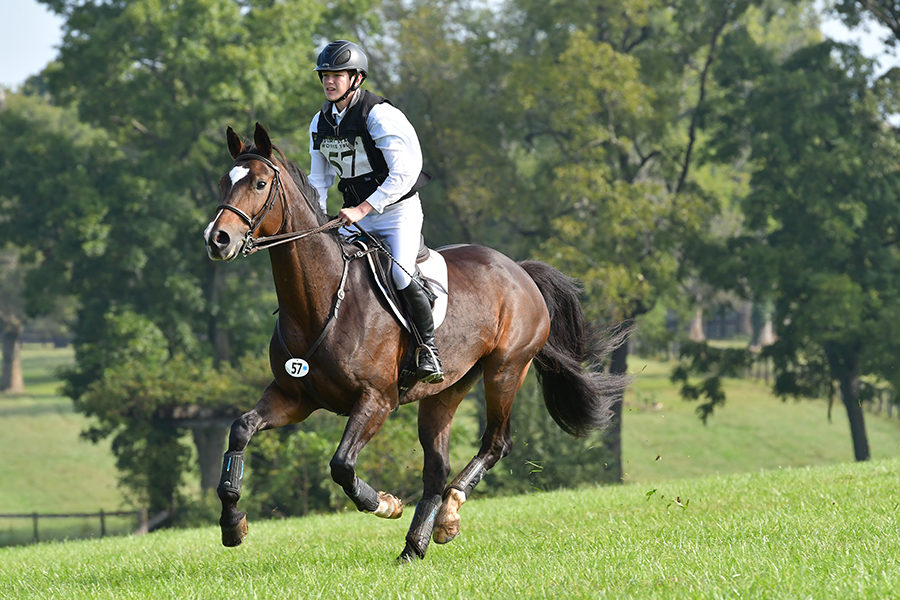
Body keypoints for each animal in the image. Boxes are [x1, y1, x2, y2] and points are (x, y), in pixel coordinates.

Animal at [203, 123, 628, 564]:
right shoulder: (294, 397)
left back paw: (448, 516)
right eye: (223, 182)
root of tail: (519, 270)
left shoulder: (376, 401)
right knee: (436, 468)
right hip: (446, 390)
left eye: (259, 183)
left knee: (495, 443)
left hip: (506, 370)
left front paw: (385, 504)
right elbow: (241, 429)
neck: (323, 302)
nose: (217, 239)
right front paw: (233, 525)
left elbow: (342, 465)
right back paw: (415, 544)